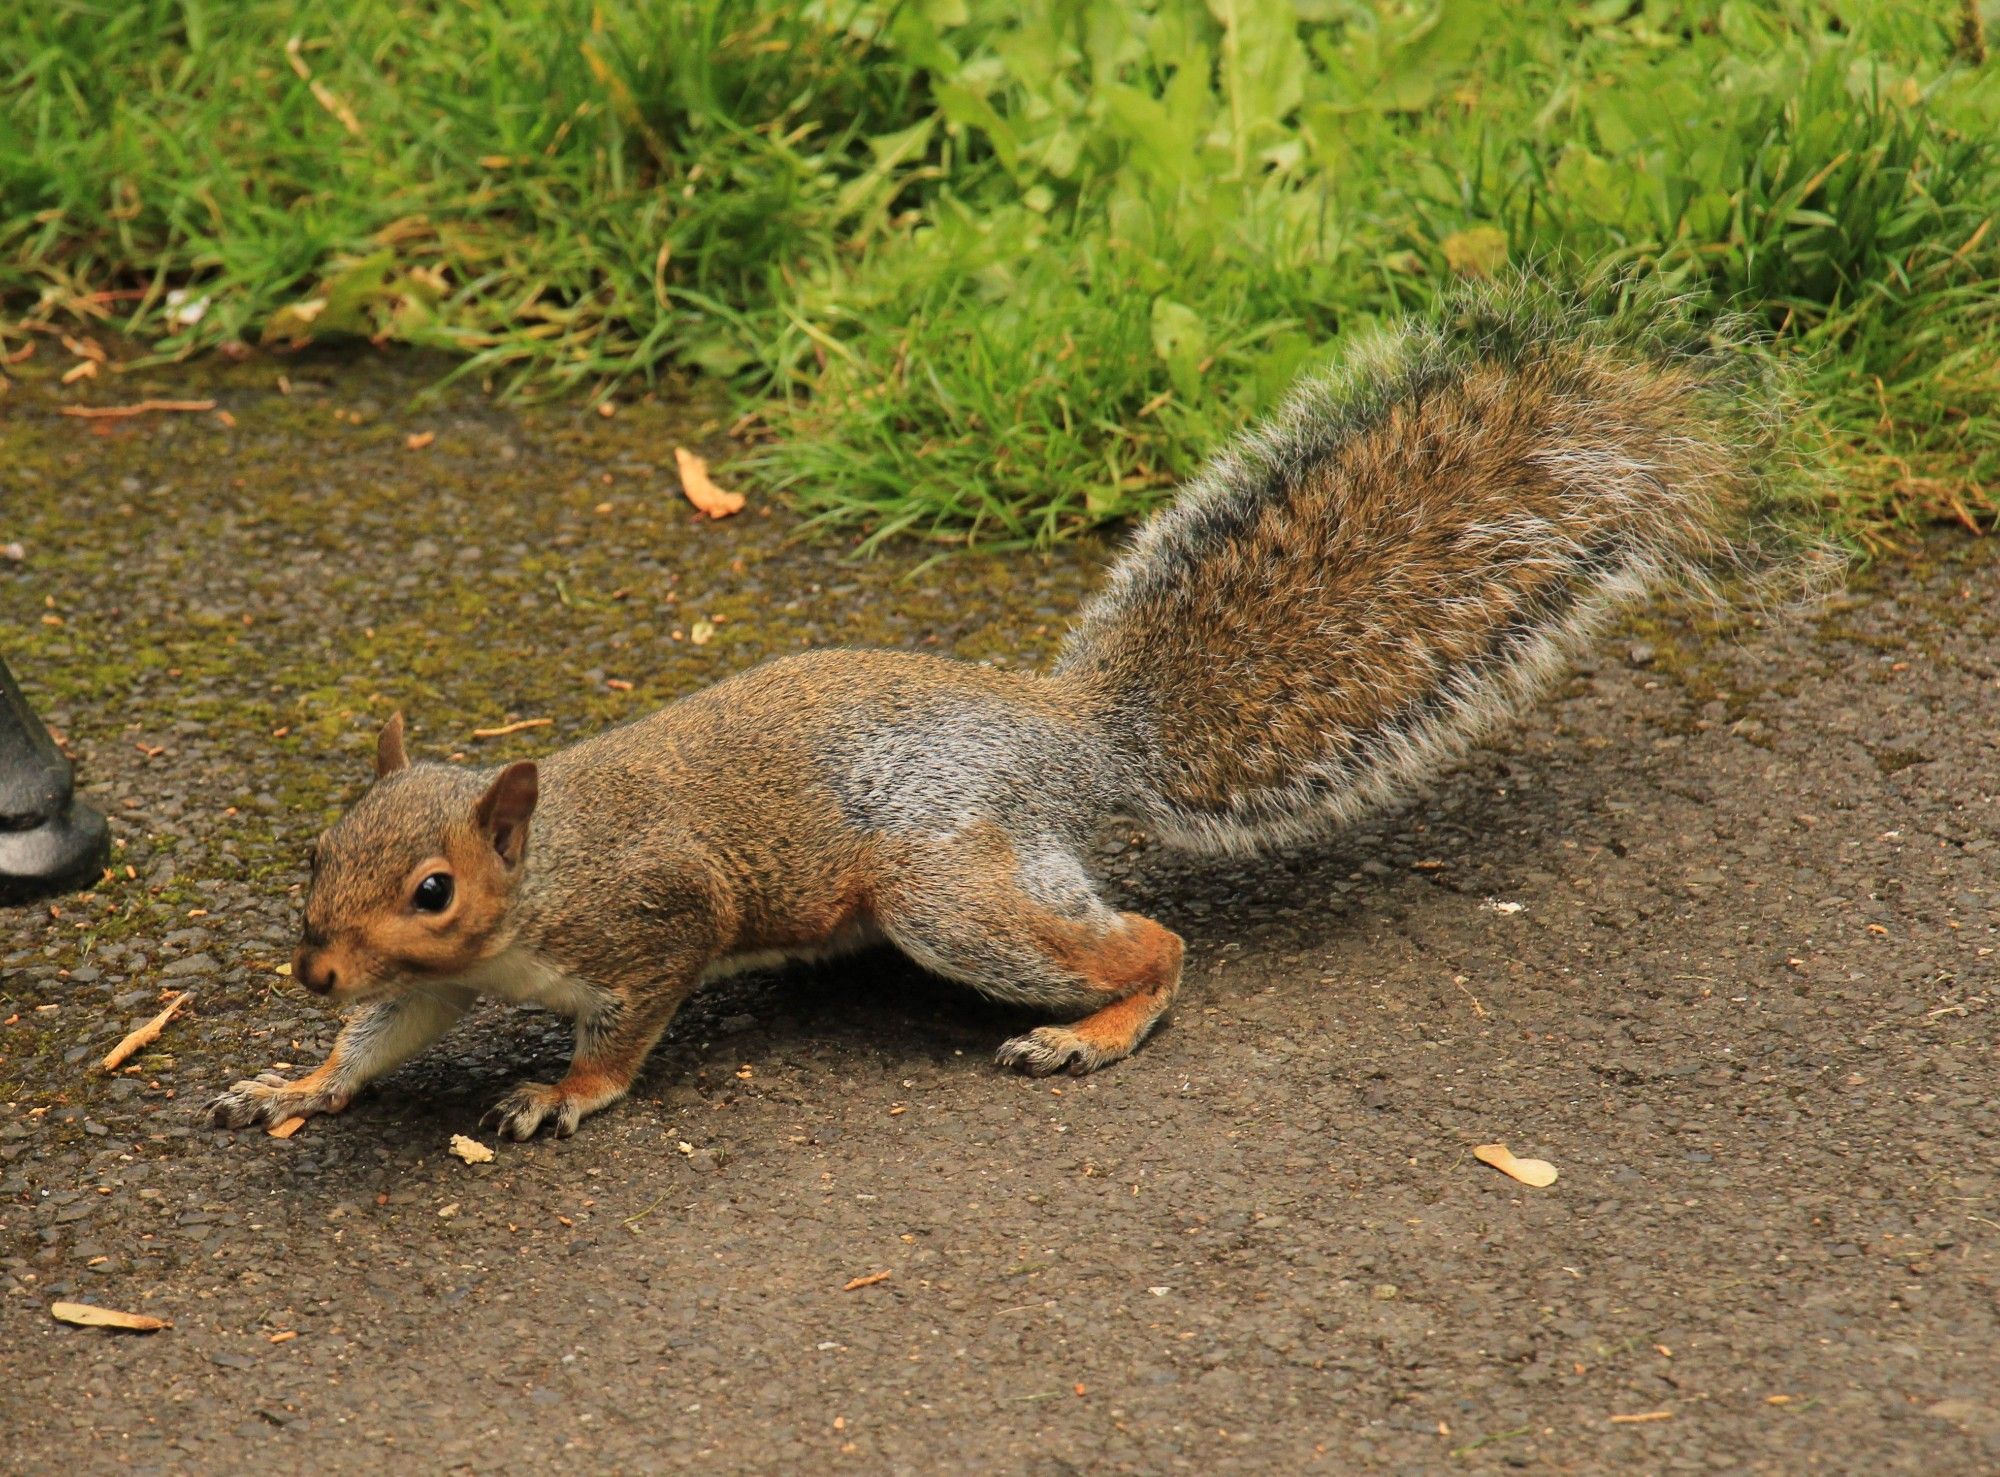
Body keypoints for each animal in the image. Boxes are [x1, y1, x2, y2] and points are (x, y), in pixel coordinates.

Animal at [211, 282, 1832, 1144]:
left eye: (434, 885)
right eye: (315, 852)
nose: (307, 966)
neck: (534, 881)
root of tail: (1072, 733)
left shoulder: (651, 915)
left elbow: (629, 1022)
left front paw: (564, 1091)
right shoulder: (430, 986)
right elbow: (387, 1036)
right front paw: (294, 1077)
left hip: (945, 882)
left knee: (1151, 943)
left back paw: (1092, 1033)